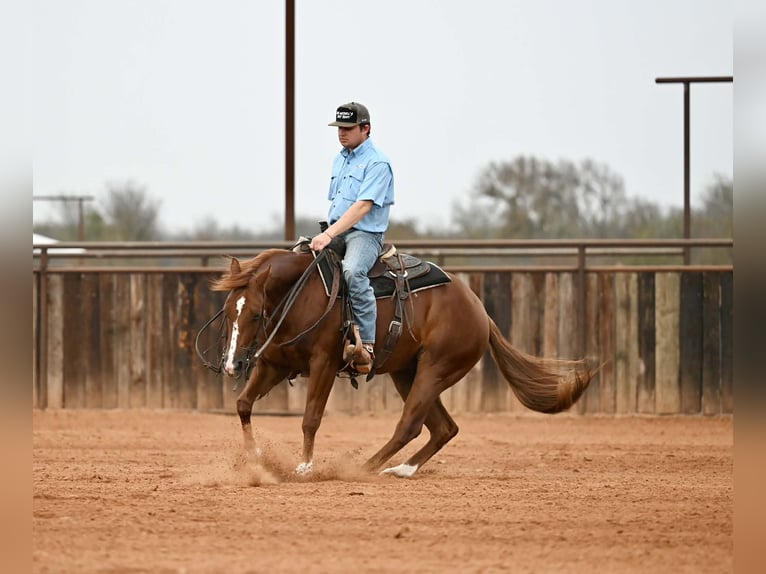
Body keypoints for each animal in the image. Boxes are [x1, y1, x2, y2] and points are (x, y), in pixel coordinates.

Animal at [205, 246, 596, 478]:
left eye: (256, 314)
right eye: (228, 311)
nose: (232, 365)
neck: (301, 295)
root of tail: (479, 310)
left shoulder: (324, 364)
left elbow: (310, 419)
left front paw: (304, 468)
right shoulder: (274, 364)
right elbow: (242, 404)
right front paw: (255, 458)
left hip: (436, 370)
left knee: (410, 425)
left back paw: (363, 468)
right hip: (408, 373)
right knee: (443, 428)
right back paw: (402, 470)